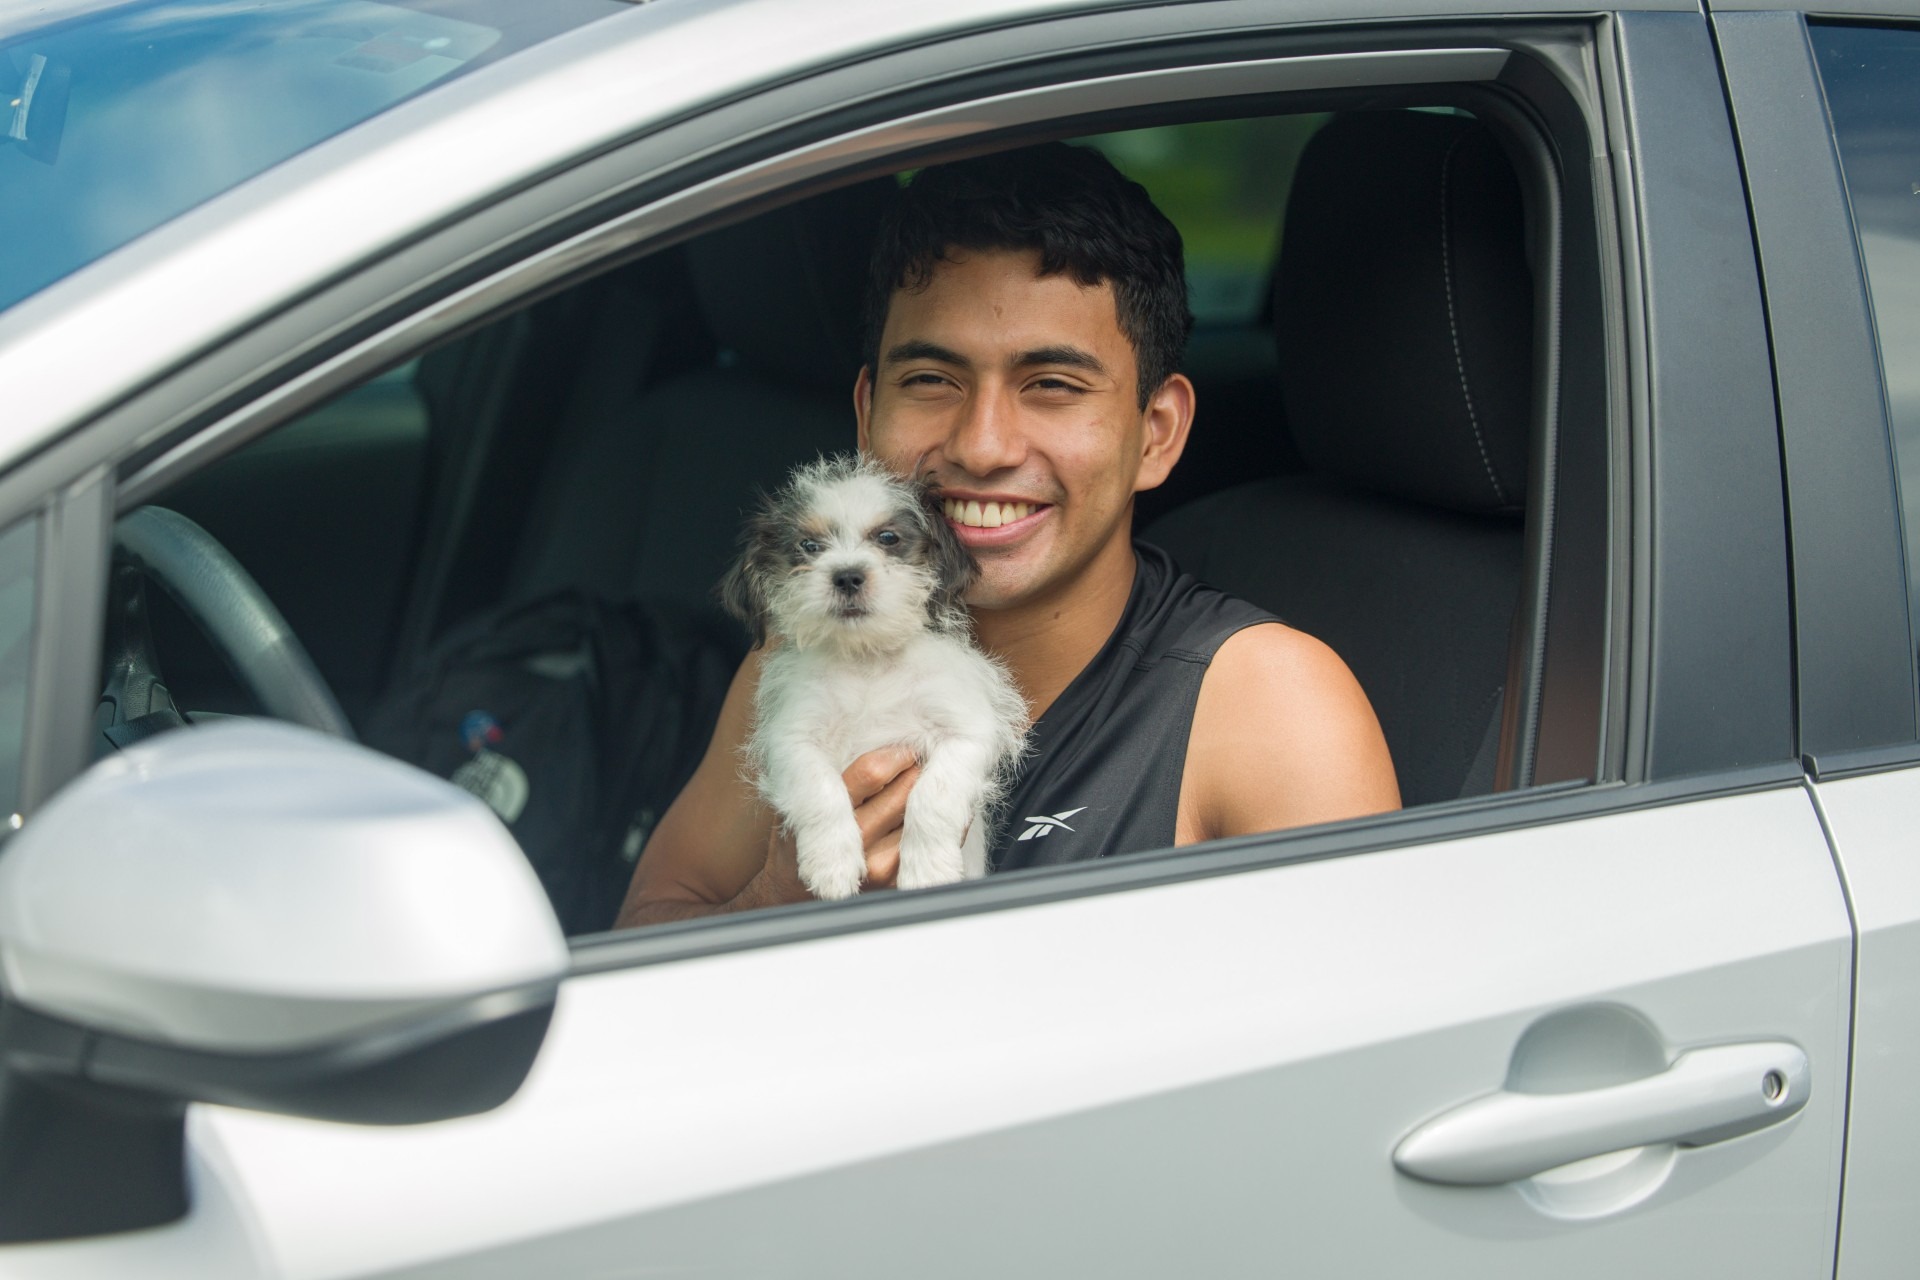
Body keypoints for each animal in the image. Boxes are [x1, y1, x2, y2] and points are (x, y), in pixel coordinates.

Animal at [721, 452, 1029, 901]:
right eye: (809, 546)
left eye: (888, 538)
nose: (848, 575)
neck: (868, 662)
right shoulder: (793, 737)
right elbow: (820, 789)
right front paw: (831, 864)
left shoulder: (967, 733)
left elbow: (934, 796)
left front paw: (929, 870)